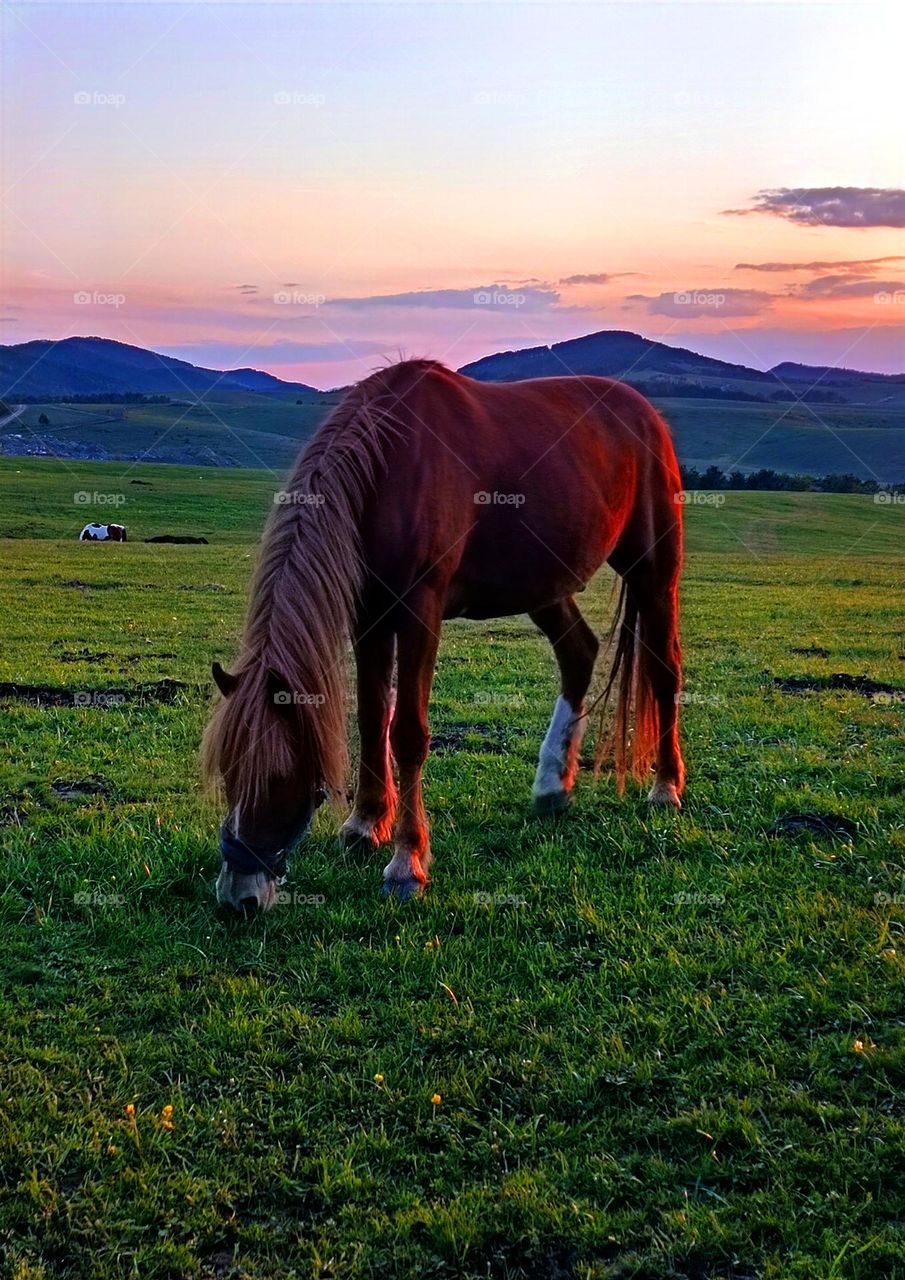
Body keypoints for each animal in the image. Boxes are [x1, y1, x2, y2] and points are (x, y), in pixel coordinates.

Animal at [203, 359, 684, 913]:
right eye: (229, 773)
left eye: (280, 776)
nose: (238, 897)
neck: (387, 471)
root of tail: (645, 414)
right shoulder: (369, 615)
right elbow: (373, 717)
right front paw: (365, 824)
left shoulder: (420, 612)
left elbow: (408, 733)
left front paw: (406, 864)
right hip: (543, 585)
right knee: (578, 652)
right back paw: (552, 787)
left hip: (653, 570)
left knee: (664, 669)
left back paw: (666, 788)